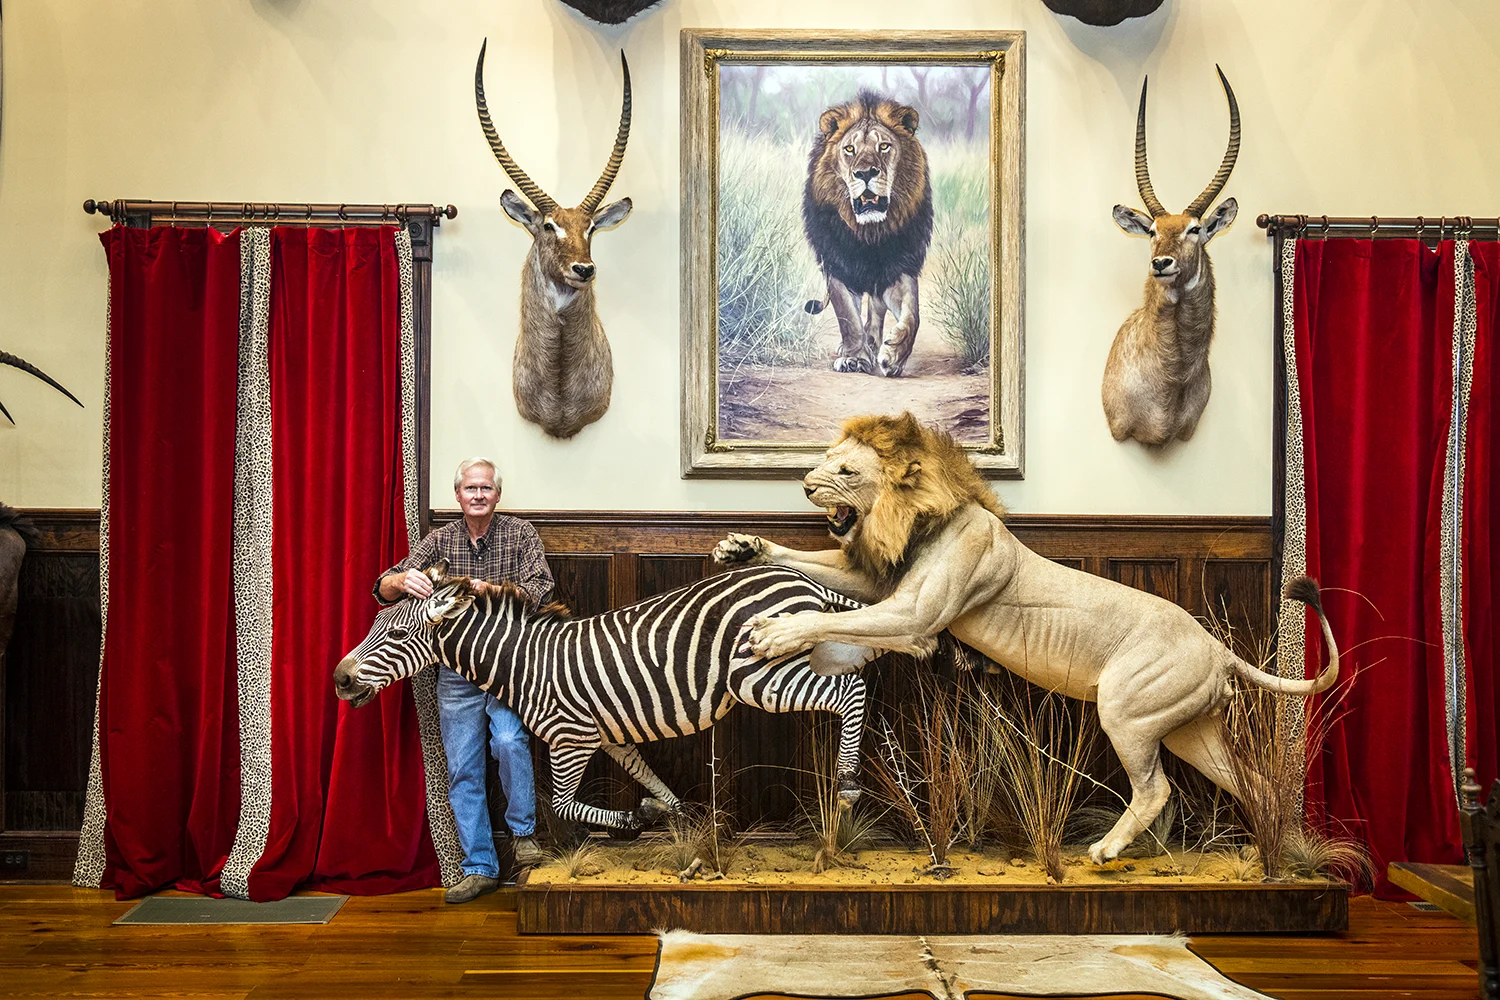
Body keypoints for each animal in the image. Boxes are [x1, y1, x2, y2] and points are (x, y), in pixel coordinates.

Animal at [711, 410, 1338, 863]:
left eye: (844, 472)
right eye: (825, 459)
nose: (804, 483)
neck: (918, 519)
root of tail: (1216, 648)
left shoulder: (913, 613)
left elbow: (831, 618)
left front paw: (774, 632)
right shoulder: (878, 582)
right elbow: (809, 562)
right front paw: (743, 546)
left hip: (1127, 709)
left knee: (1156, 788)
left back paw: (1107, 849)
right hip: (1190, 730)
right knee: (1254, 783)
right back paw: (1271, 851)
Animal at [804, 91, 930, 379]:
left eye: (884, 146)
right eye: (849, 149)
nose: (864, 173)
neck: (869, 234)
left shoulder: (899, 267)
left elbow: (912, 314)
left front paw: (894, 355)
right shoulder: (837, 266)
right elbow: (848, 317)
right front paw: (853, 358)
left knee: (876, 311)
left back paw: (875, 345)